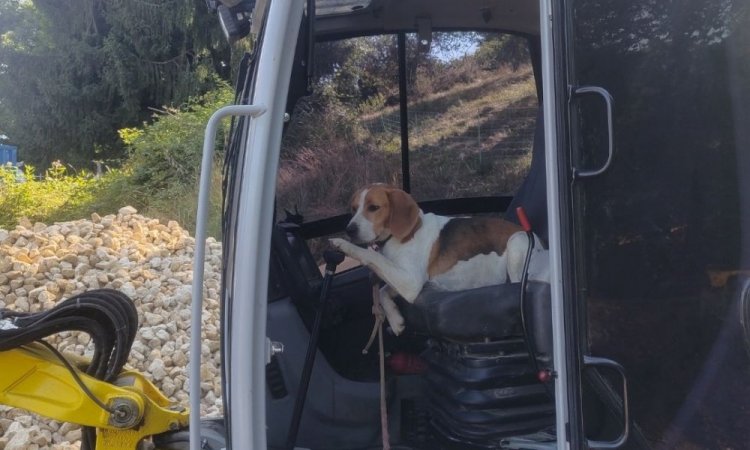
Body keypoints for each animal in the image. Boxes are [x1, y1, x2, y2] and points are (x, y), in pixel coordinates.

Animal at [332, 183, 548, 334]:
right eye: (353, 208)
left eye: (373, 207)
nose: (349, 230)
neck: (399, 236)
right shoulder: (405, 277)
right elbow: (384, 290)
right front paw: (395, 320)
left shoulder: (411, 282)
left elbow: (371, 256)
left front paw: (342, 244)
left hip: (516, 243)